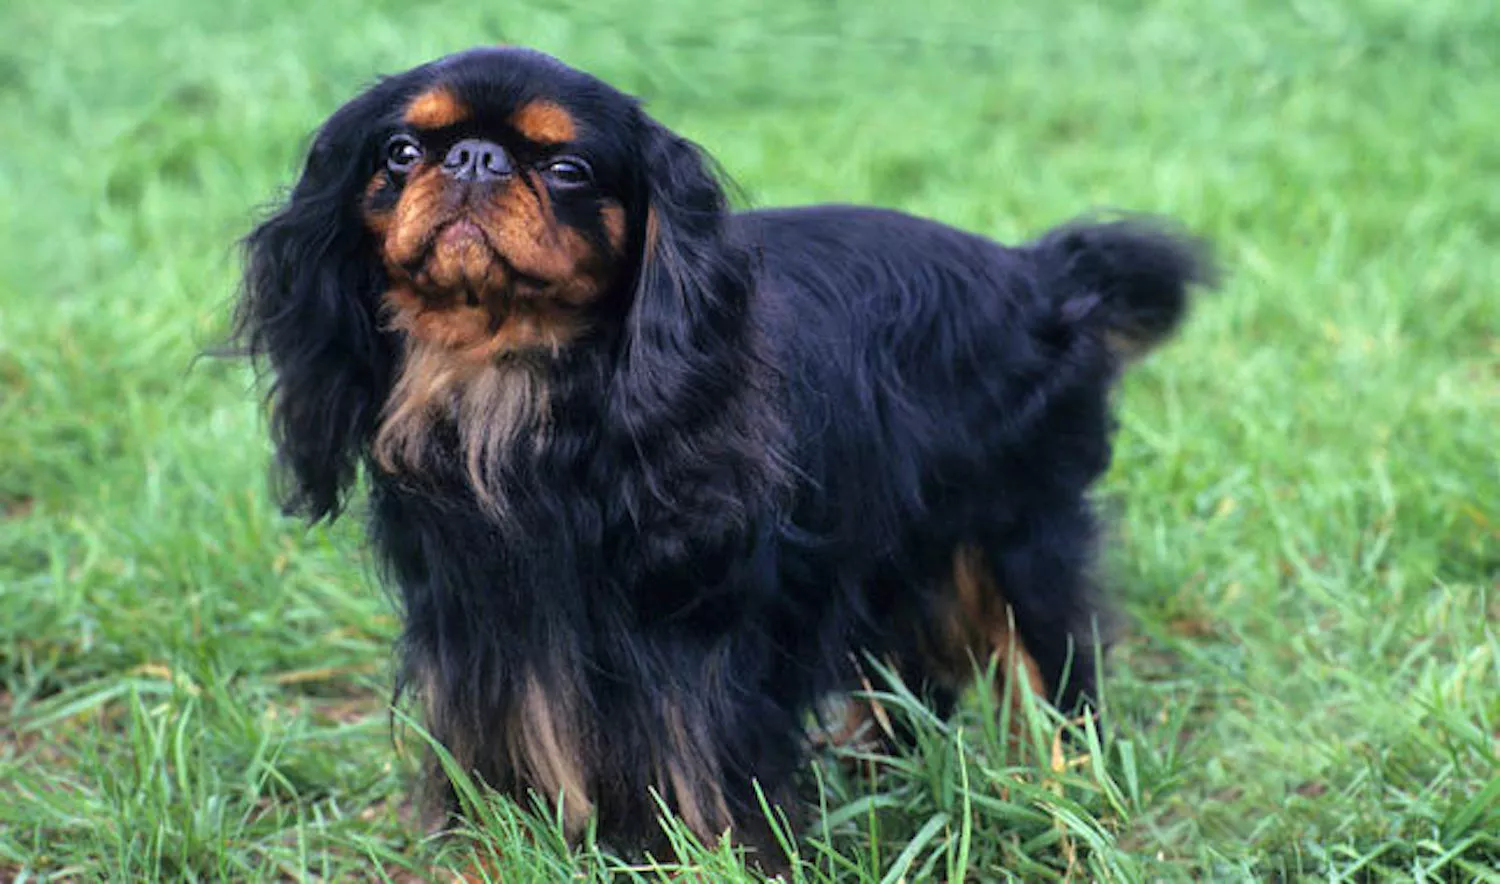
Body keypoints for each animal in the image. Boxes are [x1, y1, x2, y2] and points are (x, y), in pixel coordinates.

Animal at [231, 44, 1218, 864]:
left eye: (566, 169)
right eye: (401, 152)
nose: (475, 159)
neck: (510, 380)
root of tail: (1037, 274)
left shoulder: (703, 649)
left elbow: (706, 773)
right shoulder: (477, 638)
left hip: (1017, 538)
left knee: (1051, 683)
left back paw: (1063, 804)